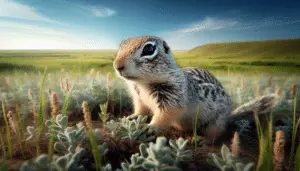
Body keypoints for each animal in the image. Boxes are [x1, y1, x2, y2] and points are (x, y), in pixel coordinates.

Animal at [113, 35, 278, 142]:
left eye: (148, 49)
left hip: (215, 123)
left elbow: (165, 114)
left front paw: (151, 128)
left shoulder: (174, 95)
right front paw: (132, 117)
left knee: (214, 135)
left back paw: (202, 140)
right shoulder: (139, 98)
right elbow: (141, 110)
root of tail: (229, 116)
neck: (143, 83)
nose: (117, 66)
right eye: (121, 46)